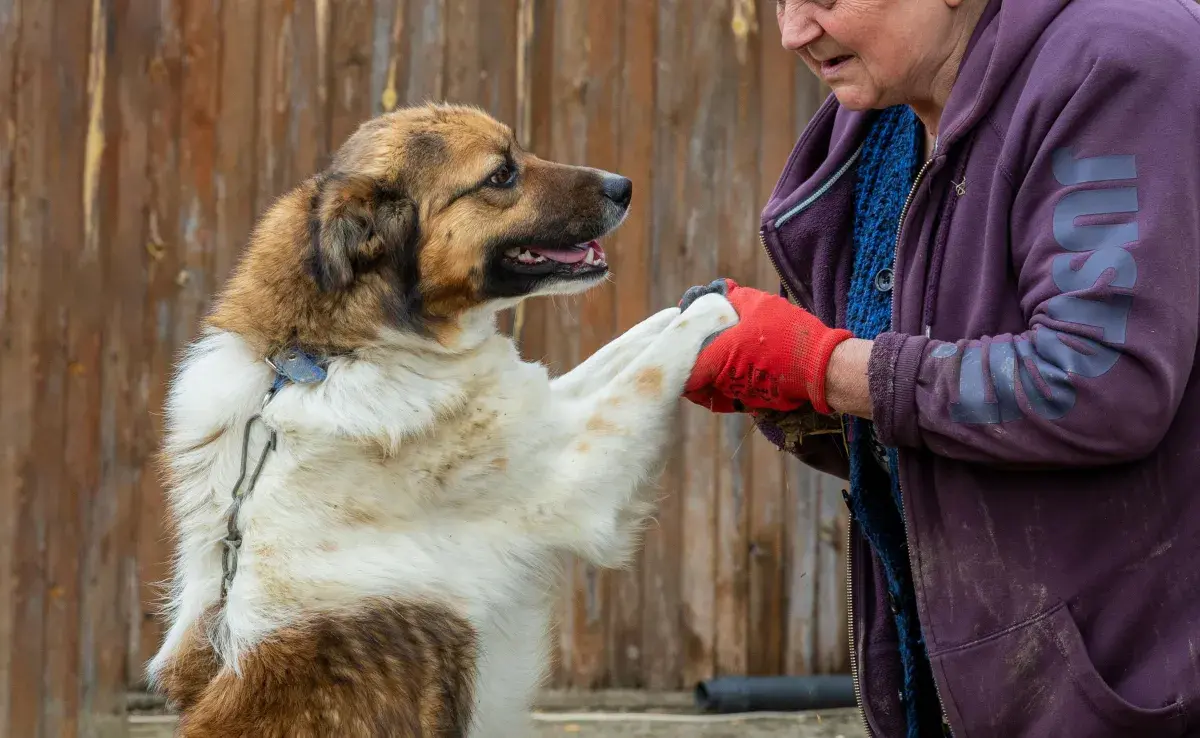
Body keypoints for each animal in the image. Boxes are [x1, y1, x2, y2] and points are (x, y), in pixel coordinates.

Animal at [145, 105, 734, 738]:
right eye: (501, 174)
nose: (623, 187)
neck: (327, 355)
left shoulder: (542, 411)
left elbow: (629, 346)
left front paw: (695, 299)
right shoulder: (575, 475)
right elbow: (653, 365)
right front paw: (717, 311)